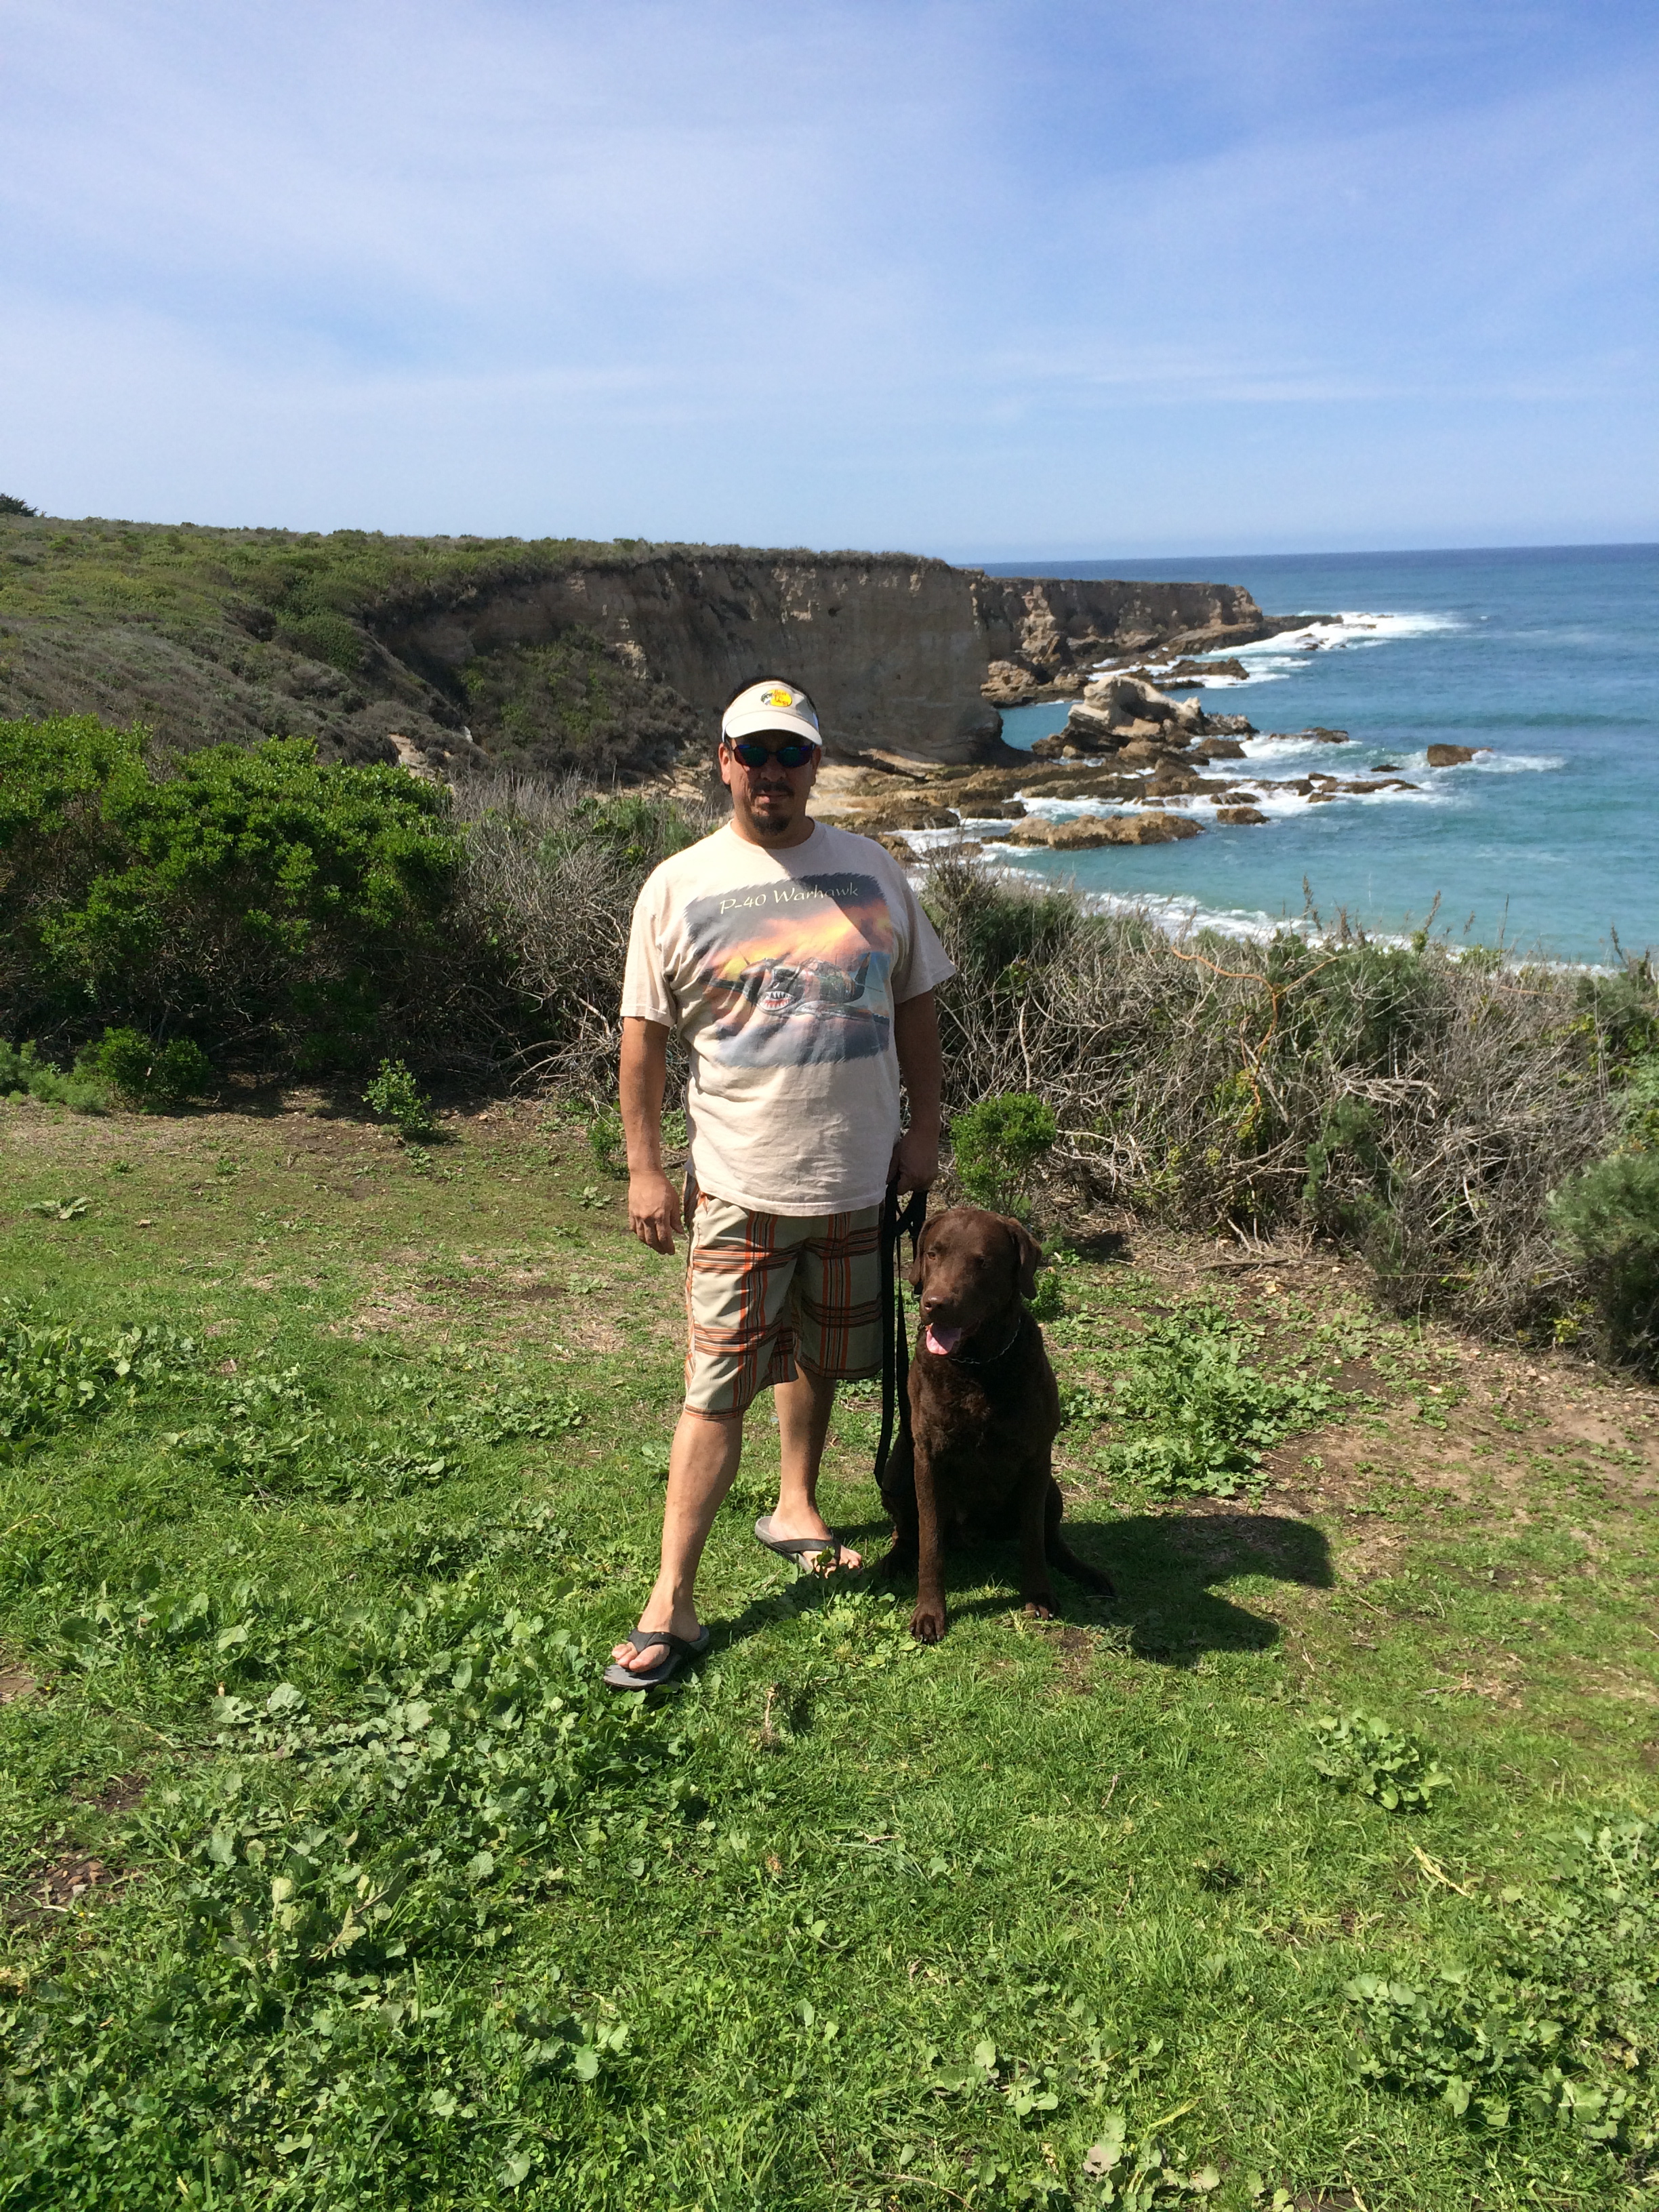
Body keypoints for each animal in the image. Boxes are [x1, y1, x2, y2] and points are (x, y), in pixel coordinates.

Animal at [877, 1204, 1113, 1642]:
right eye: (933, 1253)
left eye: (982, 1262)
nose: (934, 1303)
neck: (977, 1365)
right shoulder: (928, 1459)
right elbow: (930, 1543)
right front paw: (929, 1613)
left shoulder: (1037, 1456)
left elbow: (1033, 1539)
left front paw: (1039, 1595)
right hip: (897, 1470)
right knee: (908, 1530)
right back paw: (894, 1559)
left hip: (1053, 1489)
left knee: (1052, 1539)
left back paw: (1088, 1573)